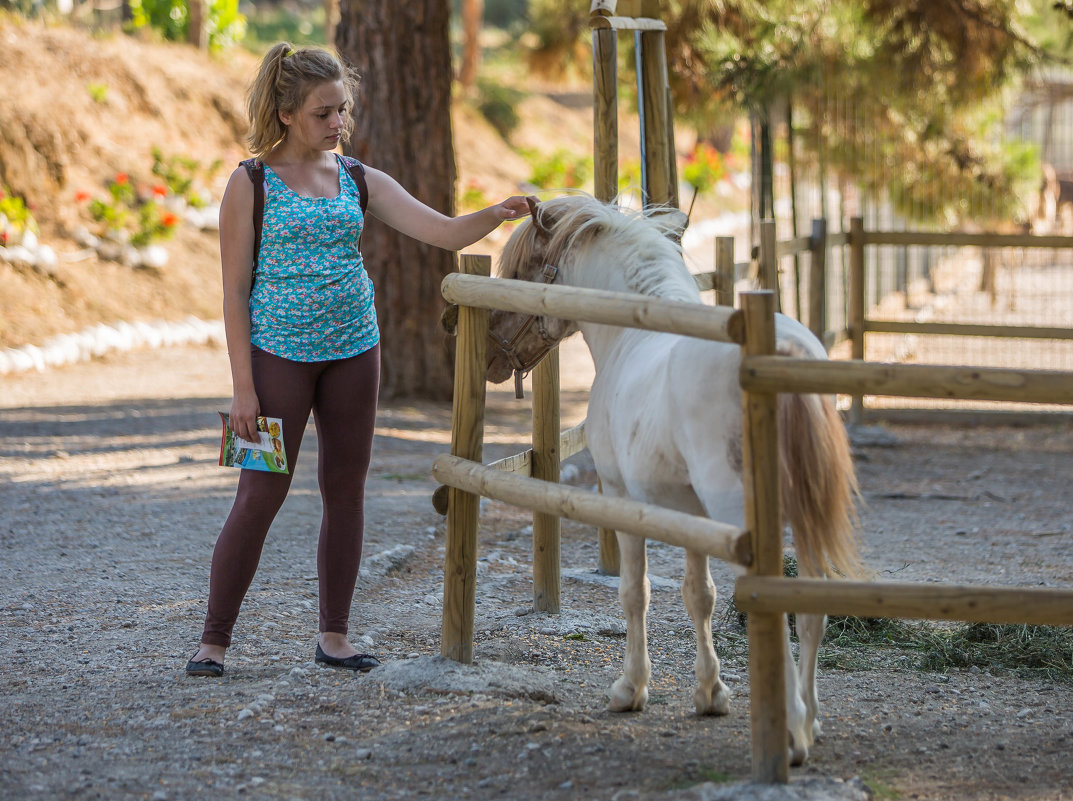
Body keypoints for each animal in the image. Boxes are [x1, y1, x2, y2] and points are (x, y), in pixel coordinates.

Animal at [487, 194, 862, 763]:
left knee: (774, 602)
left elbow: (634, 592)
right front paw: (710, 693)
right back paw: (810, 720)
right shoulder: (689, 513)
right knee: (810, 608)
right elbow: (698, 595)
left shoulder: (624, 498)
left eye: (517, 271)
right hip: (800, 517)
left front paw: (631, 688)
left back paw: (790, 730)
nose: (487, 350)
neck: (634, 332)